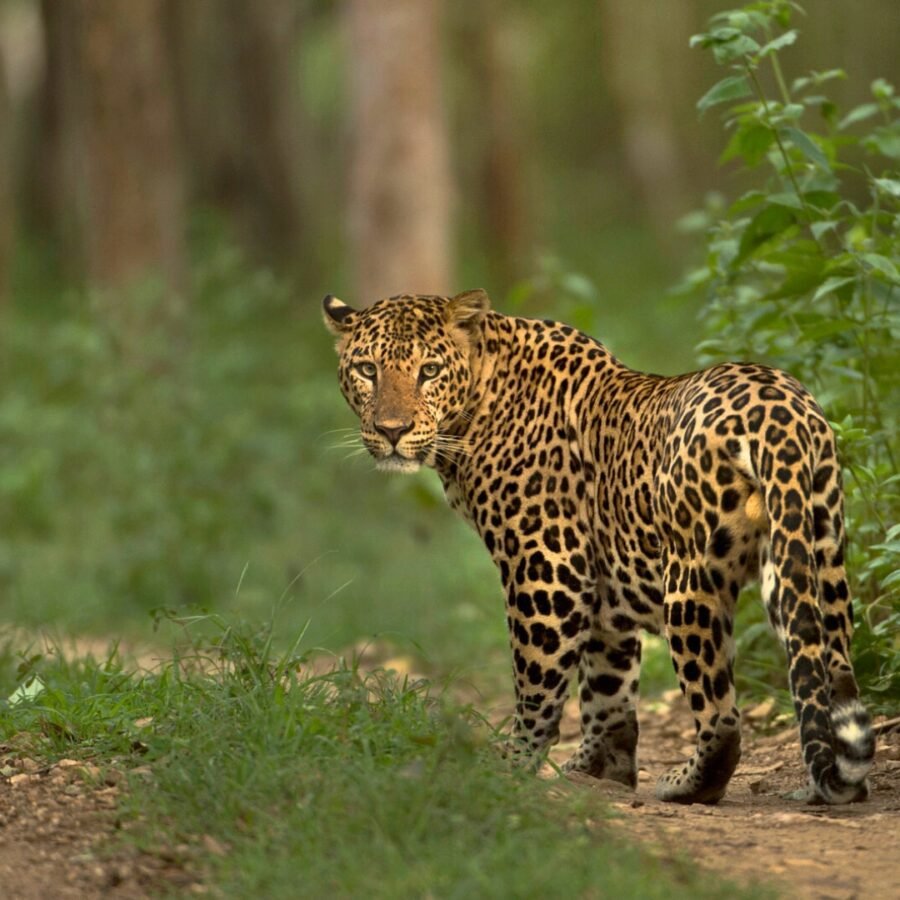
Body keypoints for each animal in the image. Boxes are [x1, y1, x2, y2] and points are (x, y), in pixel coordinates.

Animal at [322, 288, 874, 805]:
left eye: (429, 371)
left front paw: (513, 764)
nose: (392, 431)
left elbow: (538, 678)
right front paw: (600, 769)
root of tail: (781, 413)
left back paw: (689, 784)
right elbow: (608, 682)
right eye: (368, 370)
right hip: (814, 554)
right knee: (827, 666)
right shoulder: (606, 582)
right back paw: (832, 781)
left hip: (691, 579)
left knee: (721, 714)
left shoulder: (548, 567)